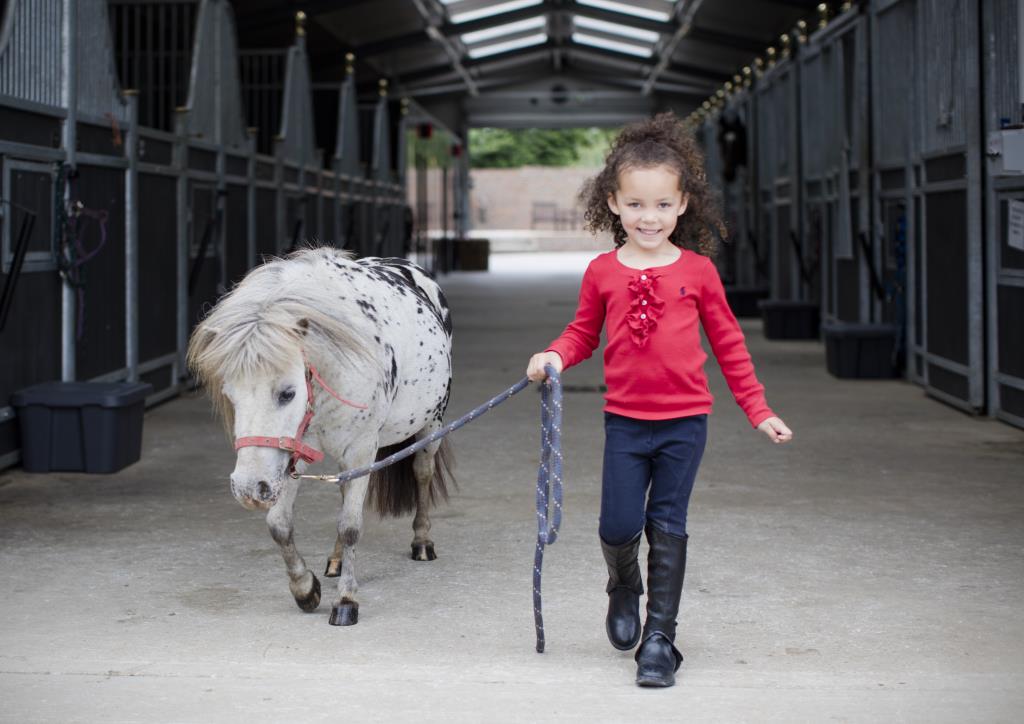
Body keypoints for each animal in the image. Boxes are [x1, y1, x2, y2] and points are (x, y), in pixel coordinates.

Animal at [185, 246, 456, 626]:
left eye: (288, 393)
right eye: (230, 395)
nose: (248, 489)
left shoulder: (362, 449)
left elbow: (351, 525)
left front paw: (345, 601)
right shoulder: (291, 453)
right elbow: (280, 525)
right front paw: (305, 589)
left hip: (431, 426)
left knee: (422, 474)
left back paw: (421, 542)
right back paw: (337, 560)